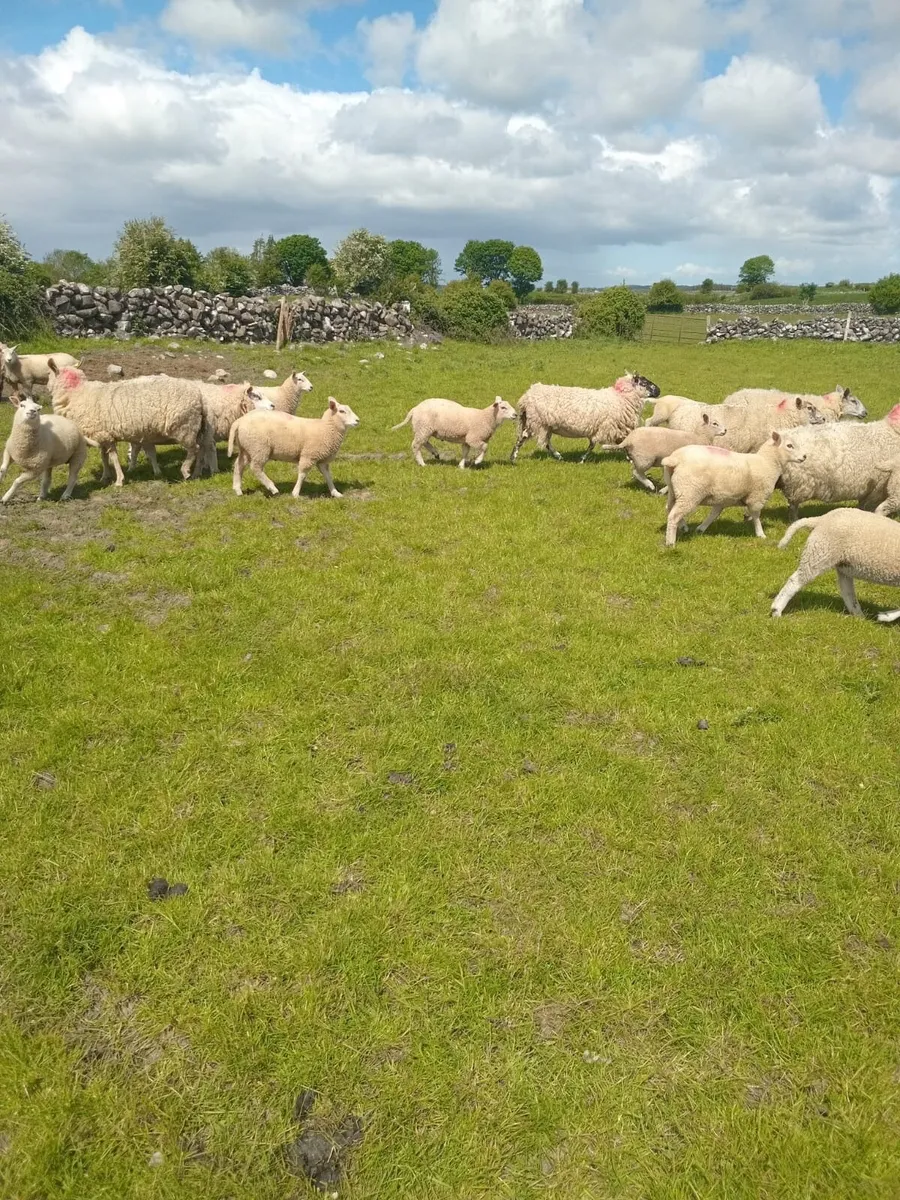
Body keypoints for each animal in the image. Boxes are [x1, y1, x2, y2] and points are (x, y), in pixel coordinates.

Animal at [47, 361, 205, 487]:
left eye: (49, 374)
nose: (47, 387)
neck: (77, 393)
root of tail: (197, 393)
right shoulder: (101, 434)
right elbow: (104, 457)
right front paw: (105, 476)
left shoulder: (106, 436)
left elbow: (113, 458)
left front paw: (119, 480)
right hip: (193, 428)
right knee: (200, 449)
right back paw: (196, 473)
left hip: (184, 427)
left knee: (194, 449)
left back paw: (186, 471)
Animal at [229, 397, 360, 498]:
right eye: (342, 411)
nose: (357, 420)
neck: (326, 428)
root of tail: (239, 421)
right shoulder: (308, 455)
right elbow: (302, 474)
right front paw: (296, 493)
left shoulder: (322, 460)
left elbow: (328, 476)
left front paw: (335, 492)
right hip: (259, 448)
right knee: (255, 468)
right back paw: (272, 488)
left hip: (247, 448)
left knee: (239, 465)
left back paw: (237, 489)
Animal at [511, 373, 661, 463]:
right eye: (644, 383)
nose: (659, 390)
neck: (621, 397)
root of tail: (526, 396)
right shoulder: (608, 427)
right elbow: (613, 444)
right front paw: (582, 459)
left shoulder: (604, 428)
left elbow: (597, 444)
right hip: (537, 422)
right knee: (523, 439)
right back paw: (513, 458)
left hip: (544, 425)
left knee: (546, 442)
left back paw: (558, 456)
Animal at [661, 431, 807, 546]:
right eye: (789, 445)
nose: (804, 456)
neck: (767, 462)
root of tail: (674, 459)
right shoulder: (757, 497)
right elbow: (756, 516)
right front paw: (760, 534)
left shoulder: (723, 497)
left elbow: (714, 514)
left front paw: (701, 529)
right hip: (690, 492)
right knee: (674, 515)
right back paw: (670, 542)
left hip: (675, 490)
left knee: (670, 508)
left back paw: (683, 526)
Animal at [771, 508, 900, 622]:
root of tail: (820, 519)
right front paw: (886, 616)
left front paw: (886, 616)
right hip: (820, 552)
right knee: (796, 580)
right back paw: (776, 610)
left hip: (843, 564)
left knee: (847, 592)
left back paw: (859, 616)